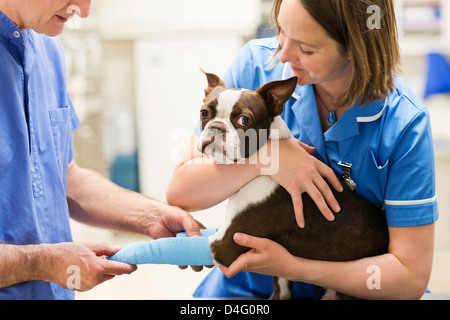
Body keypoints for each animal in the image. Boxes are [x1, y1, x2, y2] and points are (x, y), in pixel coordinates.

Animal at [199, 71, 388, 298]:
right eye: (204, 113)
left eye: (244, 120)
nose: (216, 128)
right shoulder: (281, 279)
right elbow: (281, 290)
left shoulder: (224, 245)